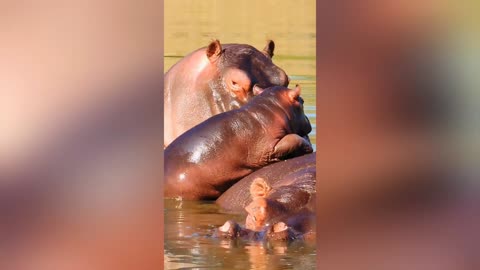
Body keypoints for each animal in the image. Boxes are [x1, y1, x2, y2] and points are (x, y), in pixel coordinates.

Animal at [165, 85, 314, 199]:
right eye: (302, 101)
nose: (309, 121)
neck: (272, 108)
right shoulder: (270, 148)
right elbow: (294, 139)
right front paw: (308, 147)